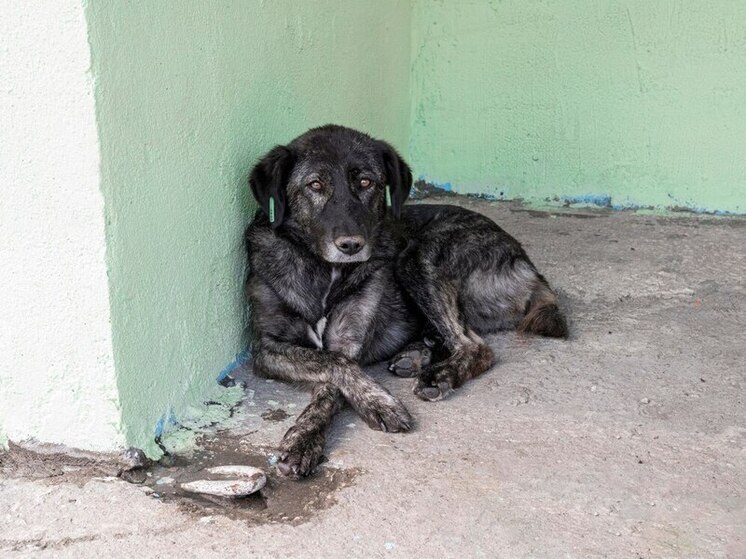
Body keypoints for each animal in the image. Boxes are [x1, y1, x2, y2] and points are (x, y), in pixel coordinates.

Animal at [244, 124, 564, 480]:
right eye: (315, 185)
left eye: (366, 182)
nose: (352, 245)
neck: (324, 271)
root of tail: (527, 263)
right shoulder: (266, 347)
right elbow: (330, 364)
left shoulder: (347, 342)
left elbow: (334, 373)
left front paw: (317, 432)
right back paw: (416, 354)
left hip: (417, 256)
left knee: (475, 346)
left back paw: (439, 374)